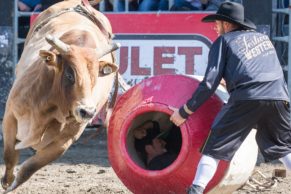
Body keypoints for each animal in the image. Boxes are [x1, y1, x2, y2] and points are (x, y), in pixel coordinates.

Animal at [1, 0, 120, 192]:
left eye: (95, 77)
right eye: (70, 75)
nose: (87, 112)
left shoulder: (65, 141)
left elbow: (29, 168)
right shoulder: (10, 115)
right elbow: (10, 155)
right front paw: (6, 181)